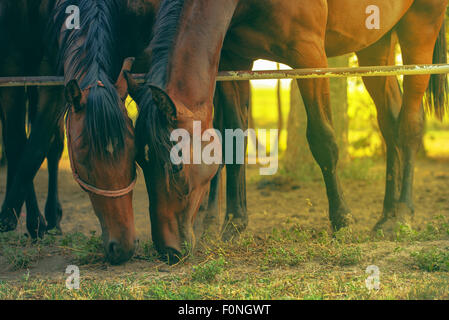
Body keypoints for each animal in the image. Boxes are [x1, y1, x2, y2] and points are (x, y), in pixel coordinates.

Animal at [127, 0, 448, 262]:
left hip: (420, 28)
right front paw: (233, 225)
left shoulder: (309, 55)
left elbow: (323, 140)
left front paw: (342, 220)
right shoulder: (234, 60)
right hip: (375, 42)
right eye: (140, 163)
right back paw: (385, 217)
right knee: (389, 124)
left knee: (409, 125)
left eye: (176, 167)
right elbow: (233, 139)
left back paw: (401, 216)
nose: (168, 250)